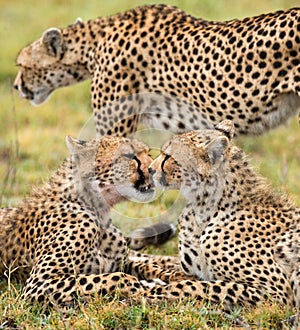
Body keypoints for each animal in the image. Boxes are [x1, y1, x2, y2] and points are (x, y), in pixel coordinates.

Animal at [0, 134, 184, 306]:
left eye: (148, 153)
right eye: (130, 156)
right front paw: (154, 287)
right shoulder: (39, 283)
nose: (155, 169)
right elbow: (119, 277)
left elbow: (146, 266)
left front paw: (177, 276)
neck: (97, 209)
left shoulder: (119, 261)